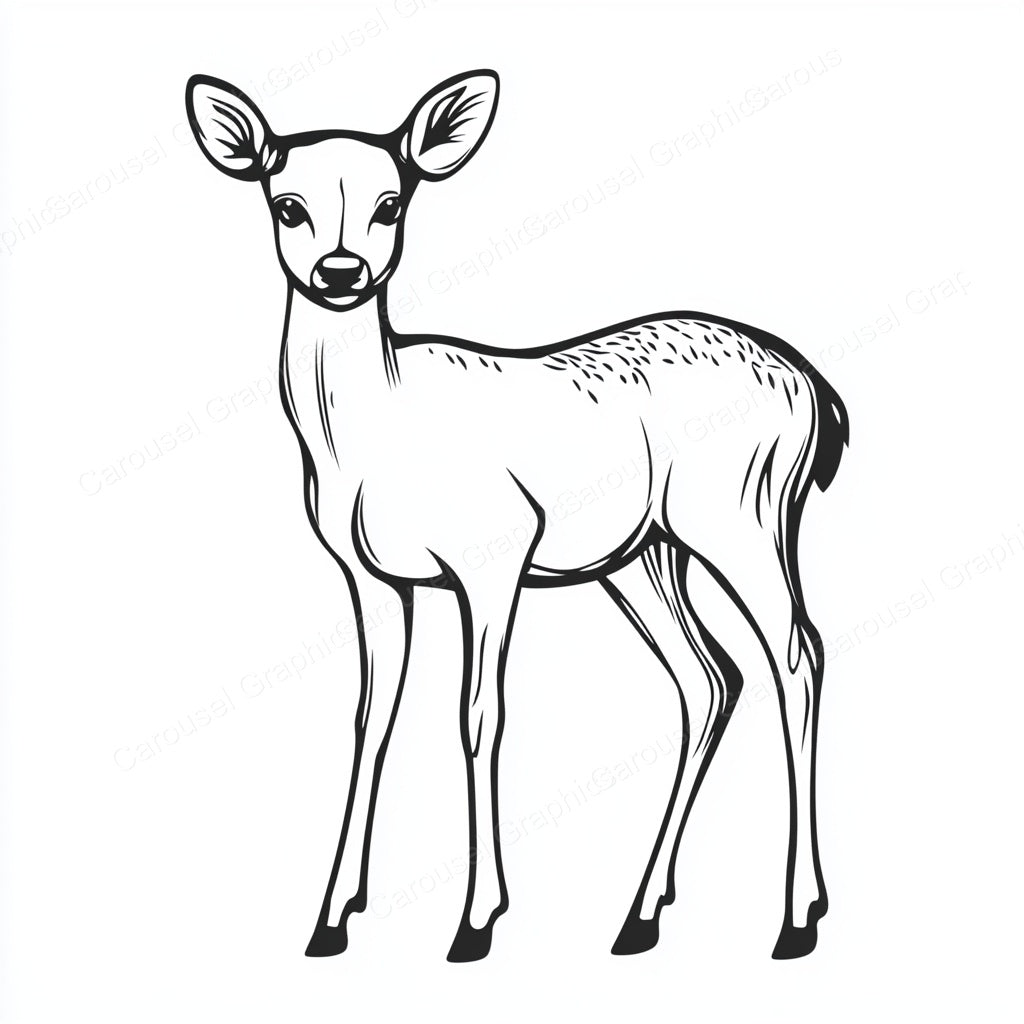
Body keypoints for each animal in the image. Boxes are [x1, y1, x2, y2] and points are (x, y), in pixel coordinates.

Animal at [185, 68, 848, 963]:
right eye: (285, 204)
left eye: (392, 203)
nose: (340, 271)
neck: (371, 437)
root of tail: (815, 389)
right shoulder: (371, 575)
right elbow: (371, 716)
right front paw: (331, 919)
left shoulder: (495, 552)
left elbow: (479, 713)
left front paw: (476, 921)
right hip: (643, 554)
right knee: (710, 676)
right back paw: (640, 915)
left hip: (743, 513)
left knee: (796, 654)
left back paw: (797, 917)